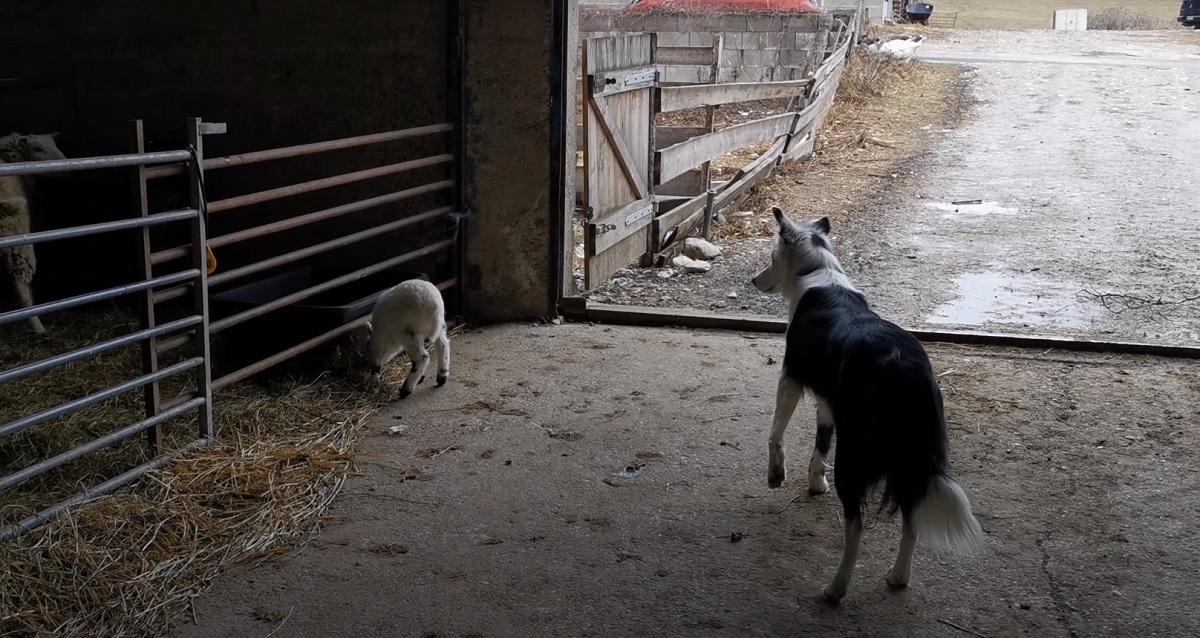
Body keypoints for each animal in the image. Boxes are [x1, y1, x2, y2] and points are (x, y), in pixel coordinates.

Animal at [753, 208, 979, 602]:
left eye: (771, 257)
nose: (753, 280)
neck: (816, 271)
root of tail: (907, 372)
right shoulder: (829, 400)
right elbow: (820, 441)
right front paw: (815, 481)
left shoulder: (790, 378)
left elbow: (775, 433)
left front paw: (776, 476)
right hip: (909, 460)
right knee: (910, 516)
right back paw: (899, 576)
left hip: (856, 455)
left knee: (856, 527)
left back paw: (836, 588)